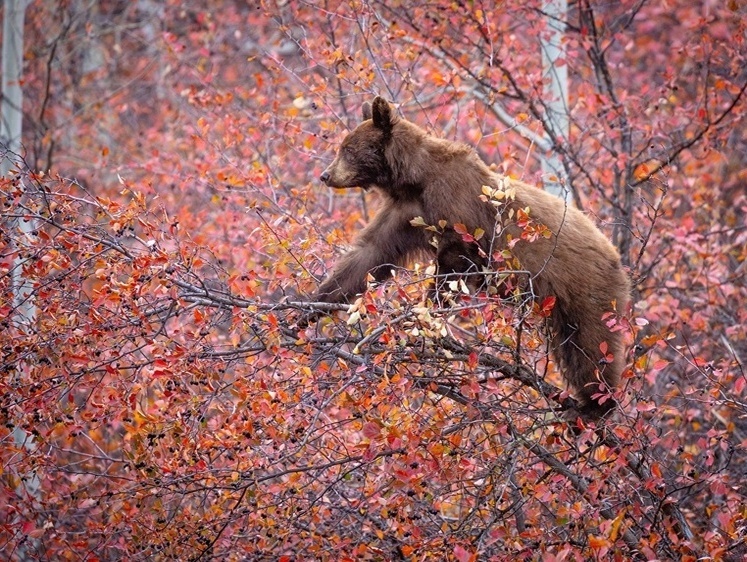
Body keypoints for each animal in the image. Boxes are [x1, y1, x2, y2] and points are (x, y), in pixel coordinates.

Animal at [310, 96, 632, 416]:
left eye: (348, 149)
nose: (326, 175)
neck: (415, 180)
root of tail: (616, 257)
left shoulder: (457, 208)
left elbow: (454, 264)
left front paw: (422, 316)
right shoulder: (405, 216)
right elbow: (368, 256)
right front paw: (310, 306)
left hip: (586, 287)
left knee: (592, 344)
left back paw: (595, 406)